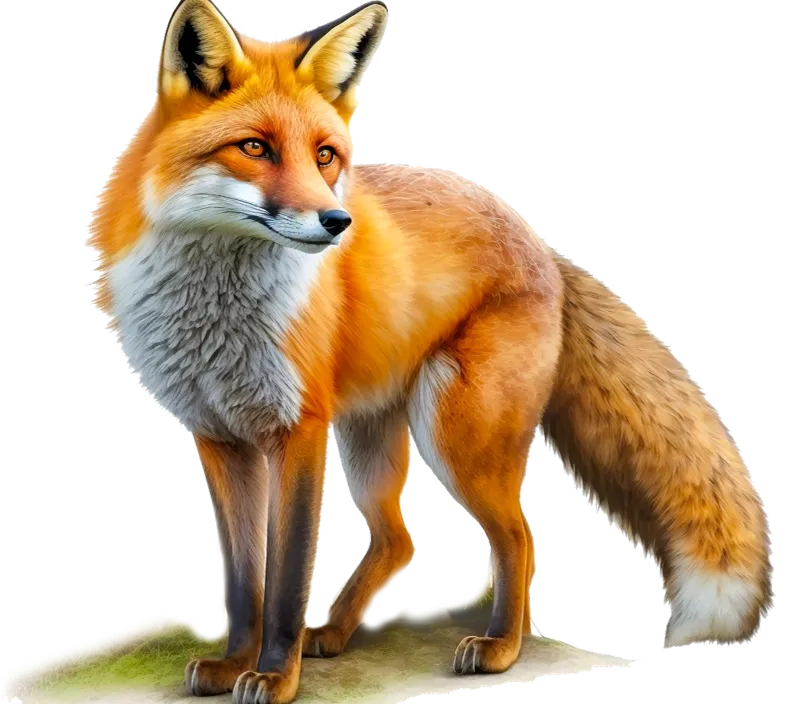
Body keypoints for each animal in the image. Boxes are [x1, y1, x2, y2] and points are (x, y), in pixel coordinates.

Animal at [89, 1, 772, 702]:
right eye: (255, 147)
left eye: (325, 156)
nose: (337, 223)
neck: (216, 315)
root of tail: (542, 245)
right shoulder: (220, 437)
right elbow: (244, 578)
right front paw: (234, 664)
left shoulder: (298, 429)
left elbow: (285, 580)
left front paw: (275, 676)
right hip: (370, 439)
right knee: (399, 540)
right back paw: (333, 634)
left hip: (455, 431)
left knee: (519, 536)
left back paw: (499, 647)